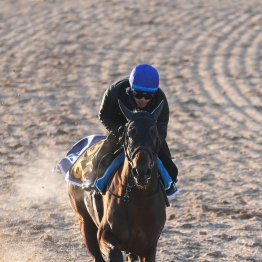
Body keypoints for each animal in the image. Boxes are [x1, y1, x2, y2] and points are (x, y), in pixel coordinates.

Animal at [67, 100, 166, 260]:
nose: (141, 171)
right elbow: (114, 251)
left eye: (154, 132)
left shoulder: (149, 247)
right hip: (84, 222)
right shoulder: (104, 235)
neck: (138, 200)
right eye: (130, 132)